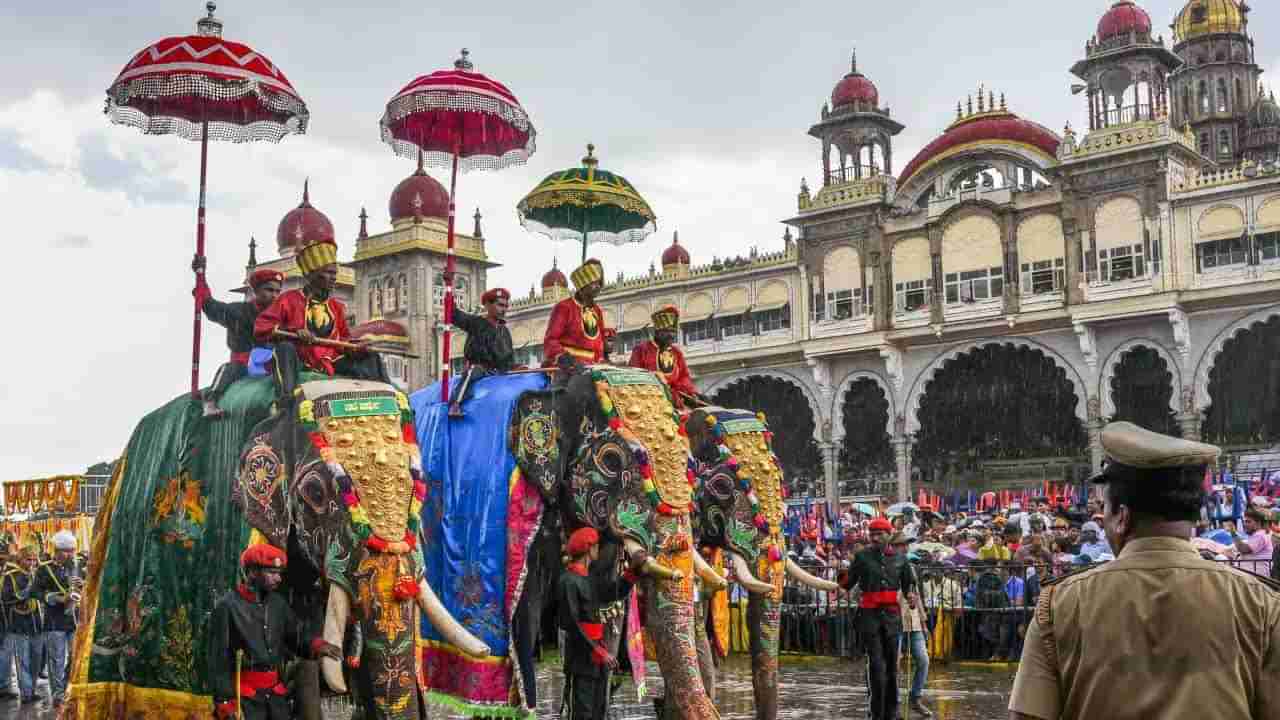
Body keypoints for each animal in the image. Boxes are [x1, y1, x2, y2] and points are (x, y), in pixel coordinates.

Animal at [414, 366, 727, 712]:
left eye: (689, 463)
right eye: (612, 461)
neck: (559, 384)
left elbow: (607, 605)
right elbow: (526, 617)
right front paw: (527, 708)